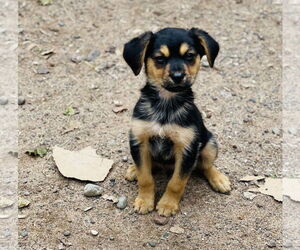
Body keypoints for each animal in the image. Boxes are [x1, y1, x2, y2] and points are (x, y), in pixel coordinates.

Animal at [123, 27, 231, 217]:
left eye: (189, 56)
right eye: (160, 58)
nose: (178, 76)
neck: (166, 104)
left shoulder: (187, 148)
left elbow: (176, 183)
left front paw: (167, 205)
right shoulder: (139, 139)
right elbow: (145, 177)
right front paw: (144, 201)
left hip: (210, 143)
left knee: (206, 166)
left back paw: (219, 179)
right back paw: (133, 169)